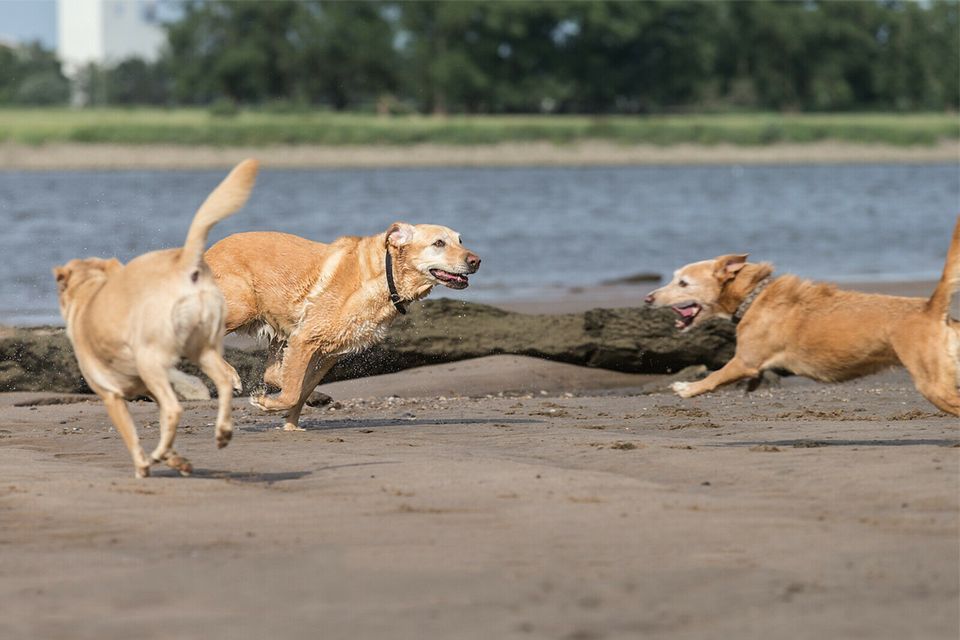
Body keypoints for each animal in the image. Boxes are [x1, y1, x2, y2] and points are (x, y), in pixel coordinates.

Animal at [54, 159, 258, 476]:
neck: (90, 293)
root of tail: (185, 263)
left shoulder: (112, 395)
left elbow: (134, 436)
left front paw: (145, 464)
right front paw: (174, 458)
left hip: (156, 359)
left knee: (177, 408)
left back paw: (160, 453)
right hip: (200, 348)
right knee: (222, 380)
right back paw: (222, 429)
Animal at [207, 222, 484, 428]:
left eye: (460, 240)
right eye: (439, 243)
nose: (476, 260)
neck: (385, 277)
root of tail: (206, 251)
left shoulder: (329, 351)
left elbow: (300, 389)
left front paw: (291, 424)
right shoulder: (305, 338)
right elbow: (293, 393)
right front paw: (267, 404)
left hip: (277, 326)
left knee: (273, 372)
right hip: (243, 307)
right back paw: (231, 376)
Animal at [644, 215, 960, 416]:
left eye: (683, 283)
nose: (648, 298)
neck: (753, 296)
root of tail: (931, 308)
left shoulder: (745, 361)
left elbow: (715, 377)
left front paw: (686, 388)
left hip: (932, 383)